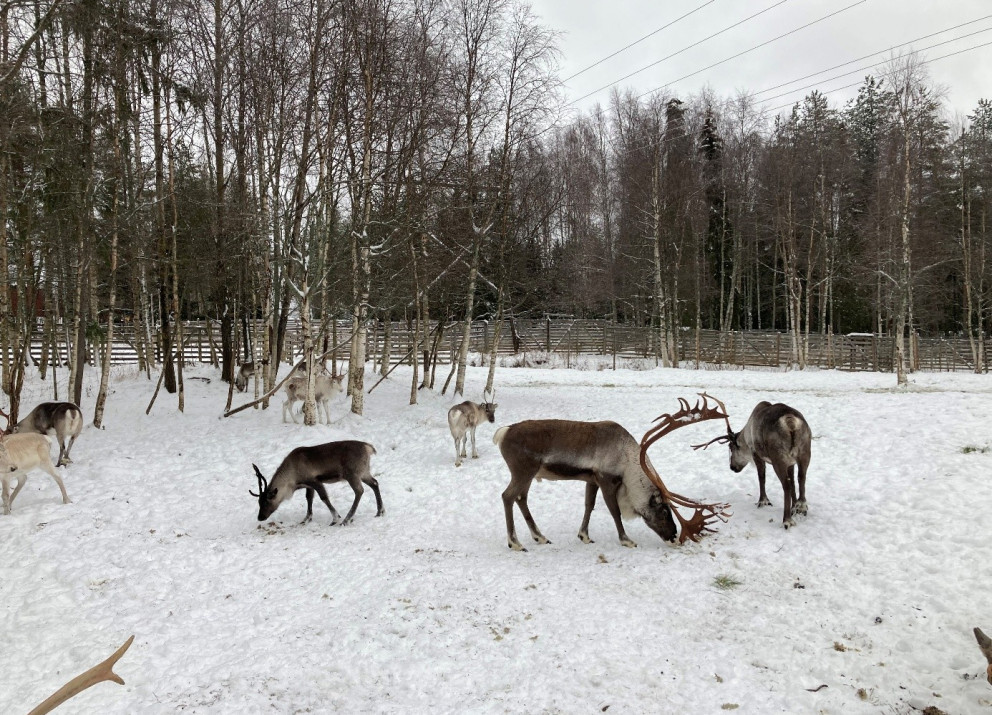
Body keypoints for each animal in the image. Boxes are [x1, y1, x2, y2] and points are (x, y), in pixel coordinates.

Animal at [249, 440, 385, 525]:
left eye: (266, 501)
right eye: (258, 502)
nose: (260, 517)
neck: (292, 479)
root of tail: (368, 448)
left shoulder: (314, 481)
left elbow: (324, 497)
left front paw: (336, 518)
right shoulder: (308, 485)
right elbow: (309, 499)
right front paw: (306, 519)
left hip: (352, 474)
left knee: (359, 491)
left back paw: (346, 520)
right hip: (364, 472)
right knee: (375, 483)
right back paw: (380, 512)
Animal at [492, 394, 732, 551]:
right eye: (664, 510)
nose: (674, 537)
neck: (626, 461)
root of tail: (503, 433)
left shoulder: (592, 479)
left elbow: (589, 506)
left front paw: (584, 536)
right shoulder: (607, 481)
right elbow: (614, 511)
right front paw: (627, 540)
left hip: (530, 474)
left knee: (521, 498)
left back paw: (539, 537)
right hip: (522, 471)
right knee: (507, 496)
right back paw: (515, 542)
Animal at [694, 400, 812, 529]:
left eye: (731, 447)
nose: (732, 467)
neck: (746, 436)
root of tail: (790, 422)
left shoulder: (756, 454)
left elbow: (762, 478)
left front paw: (763, 501)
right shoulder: (790, 463)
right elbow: (793, 483)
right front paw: (794, 507)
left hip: (778, 459)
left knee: (786, 486)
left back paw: (787, 520)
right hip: (805, 453)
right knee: (802, 478)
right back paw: (801, 507)